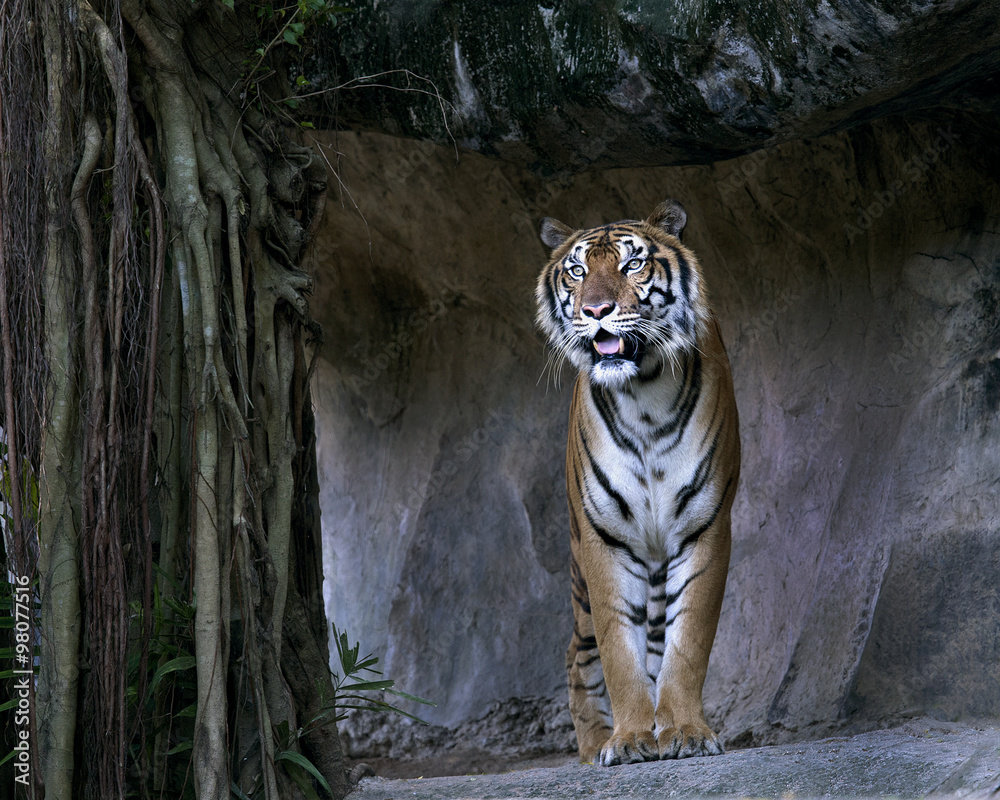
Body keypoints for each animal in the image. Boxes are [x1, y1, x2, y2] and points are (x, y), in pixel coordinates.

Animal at [535, 200, 740, 767]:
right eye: (577, 271)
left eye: (632, 265)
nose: (596, 310)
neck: (643, 391)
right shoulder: (604, 537)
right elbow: (616, 651)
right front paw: (627, 740)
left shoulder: (703, 528)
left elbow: (686, 642)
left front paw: (685, 731)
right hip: (579, 573)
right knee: (576, 652)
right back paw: (592, 746)